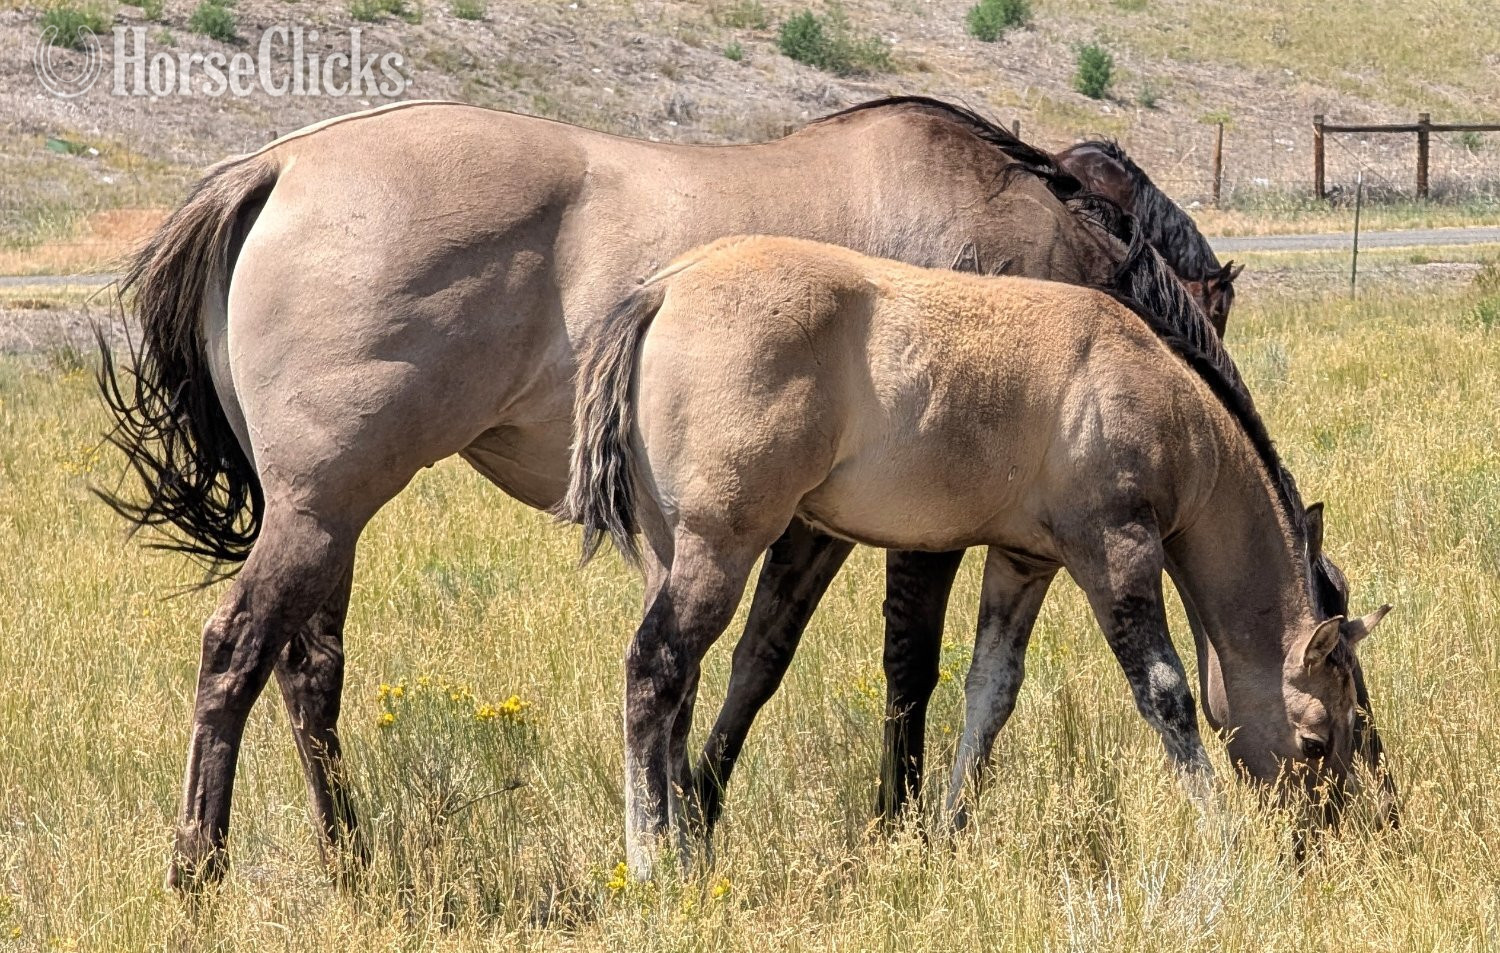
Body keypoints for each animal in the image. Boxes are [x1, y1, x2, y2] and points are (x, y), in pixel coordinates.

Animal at [567, 234, 1390, 878]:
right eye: (1318, 738)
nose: (1320, 840)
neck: (1155, 393)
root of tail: (666, 289)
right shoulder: (1115, 550)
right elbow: (1167, 693)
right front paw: (1222, 837)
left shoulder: (1024, 562)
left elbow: (991, 692)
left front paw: (949, 829)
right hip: (722, 546)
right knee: (655, 669)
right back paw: (652, 863)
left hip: (675, 553)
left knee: (682, 689)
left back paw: (686, 848)